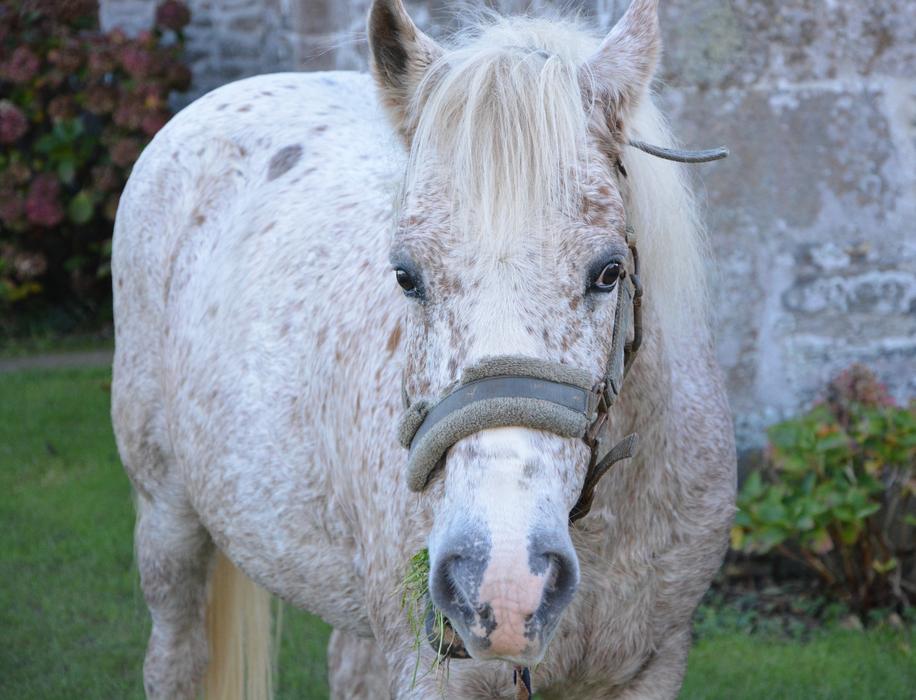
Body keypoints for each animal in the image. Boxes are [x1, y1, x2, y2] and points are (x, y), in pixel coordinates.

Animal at [111, 0, 736, 697]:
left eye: (608, 271)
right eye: (406, 276)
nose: (504, 585)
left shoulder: (655, 665)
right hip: (167, 522)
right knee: (174, 657)